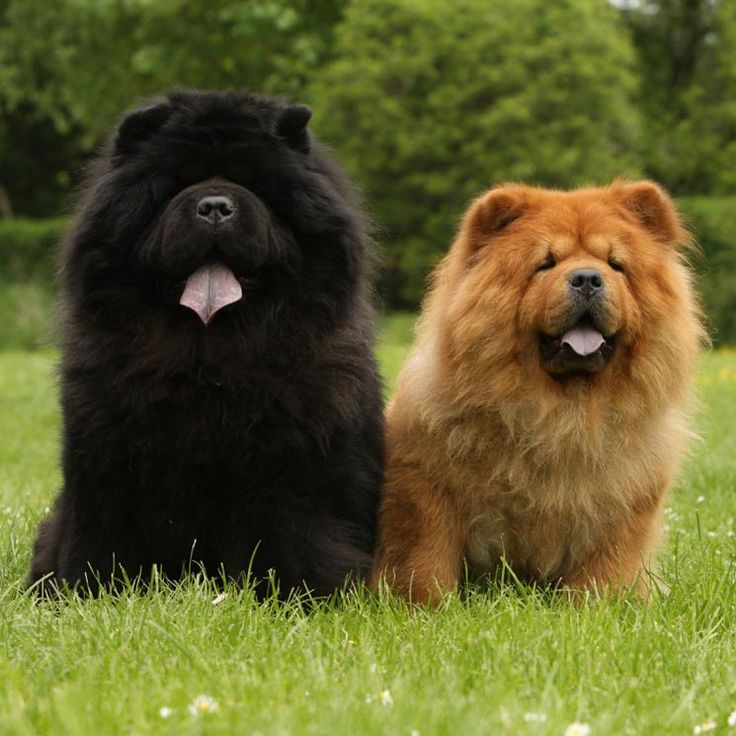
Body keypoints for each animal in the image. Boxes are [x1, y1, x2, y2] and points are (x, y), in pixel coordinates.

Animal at [27, 90, 386, 600]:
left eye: (253, 185)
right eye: (178, 184)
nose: (216, 206)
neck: (206, 357)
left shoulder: (288, 469)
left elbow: (289, 535)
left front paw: (294, 596)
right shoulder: (105, 458)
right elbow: (100, 538)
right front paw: (88, 594)